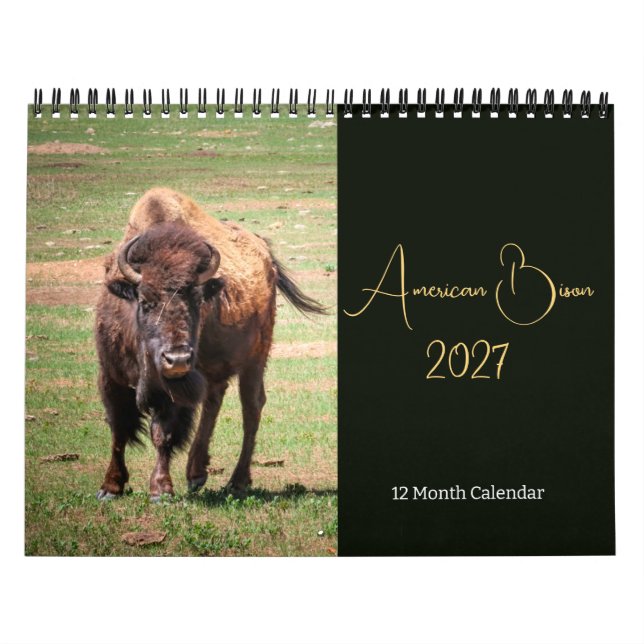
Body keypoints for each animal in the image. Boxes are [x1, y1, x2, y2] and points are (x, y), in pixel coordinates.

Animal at [95, 188, 325, 500]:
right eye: (144, 301)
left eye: (197, 301)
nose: (177, 359)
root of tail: (266, 254)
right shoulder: (111, 376)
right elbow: (118, 428)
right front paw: (110, 487)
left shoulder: (174, 389)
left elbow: (162, 433)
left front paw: (161, 490)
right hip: (214, 367)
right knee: (214, 401)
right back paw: (196, 474)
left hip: (255, 358)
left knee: (251, 407)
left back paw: (236, 481)